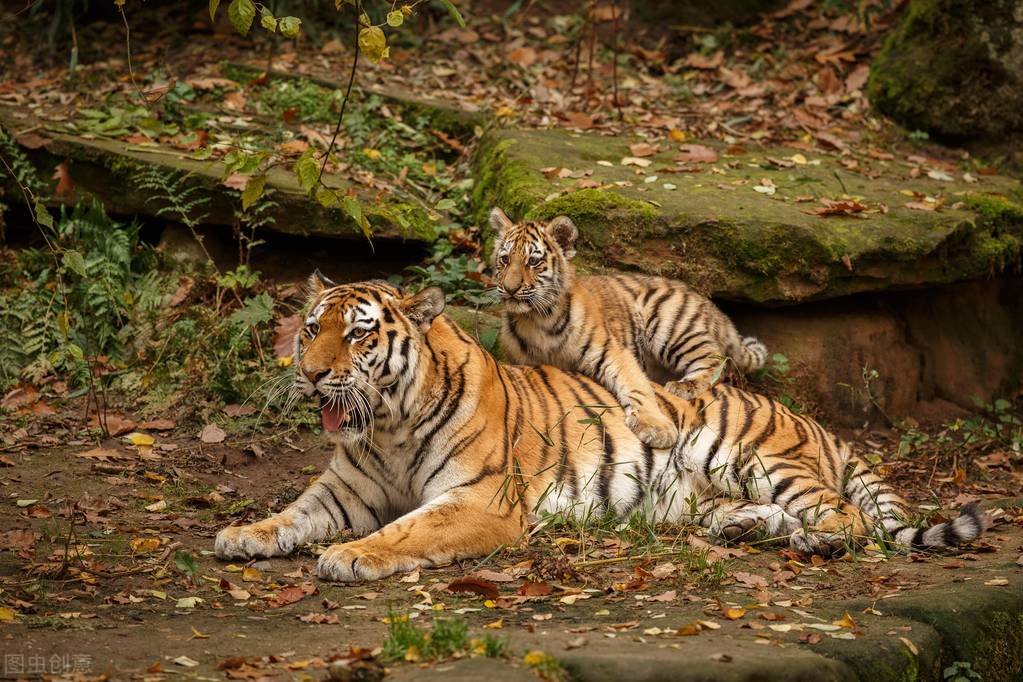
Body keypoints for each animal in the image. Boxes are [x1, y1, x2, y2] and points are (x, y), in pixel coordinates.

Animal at [213, 276, 982, 580]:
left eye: (358, 335)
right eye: (311, 329)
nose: (311, 373)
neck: (388, 427)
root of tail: (809, 419)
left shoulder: (482, 500)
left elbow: (408, 530)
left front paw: (350, 555)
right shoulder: (344, 491)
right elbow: (290, 514)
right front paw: (240, 535)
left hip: (753, 455)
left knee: (846, 517)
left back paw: (815, 540)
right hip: (703, 493)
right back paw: (742, 530)